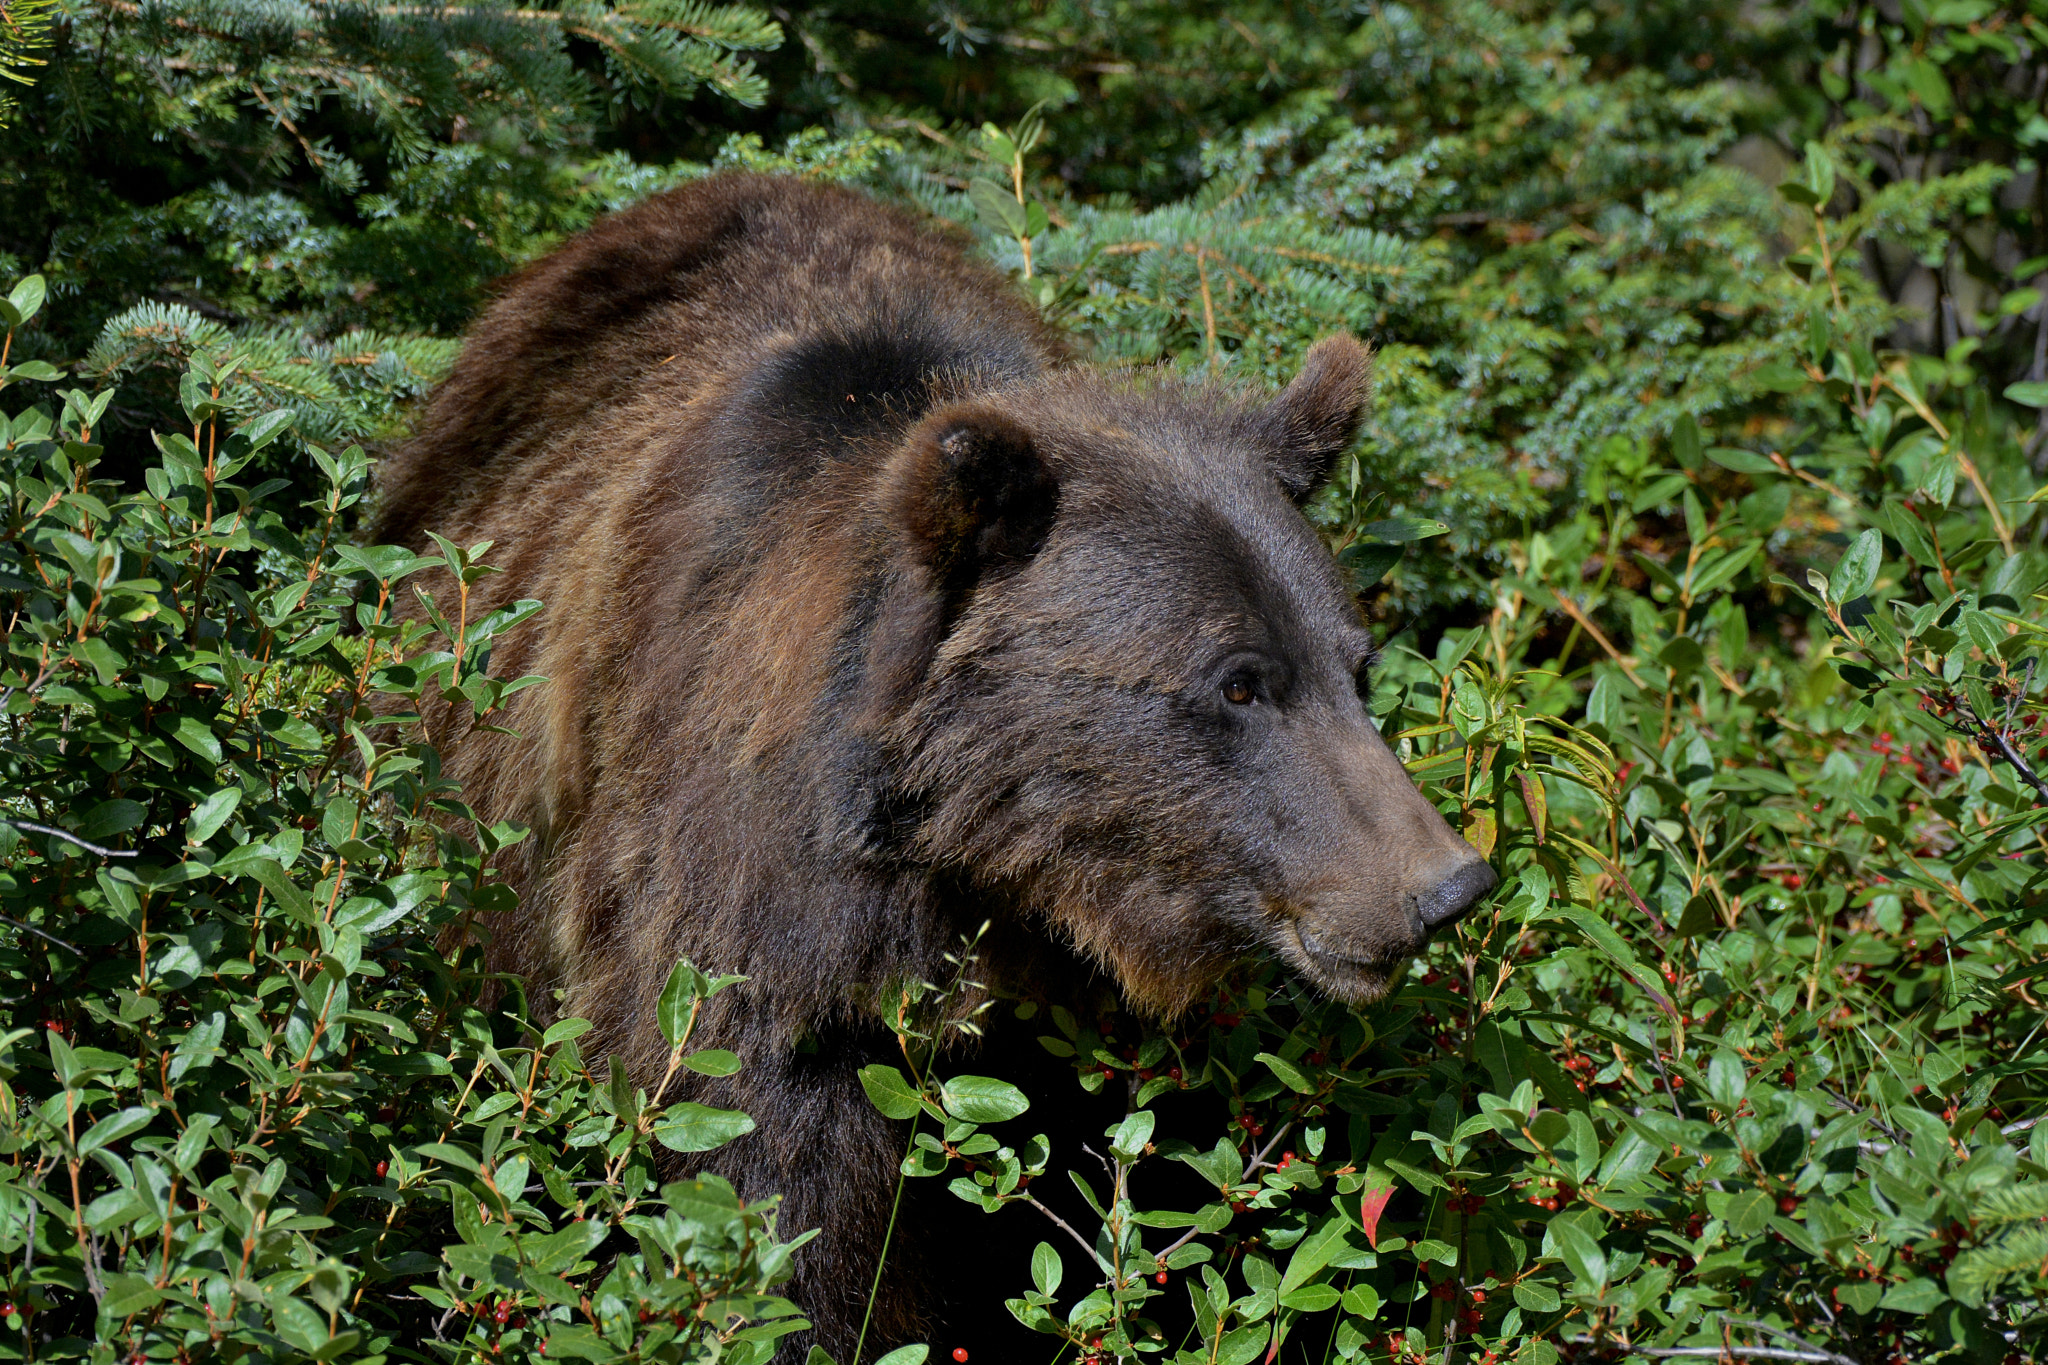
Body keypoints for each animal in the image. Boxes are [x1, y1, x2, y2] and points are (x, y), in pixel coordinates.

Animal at [372, 172, 1495, 1358]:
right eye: (1238, 681)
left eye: (1355, 663)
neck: (985, 869)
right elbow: (771, 1201)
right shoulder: (749, 951)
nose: (1445, 886)